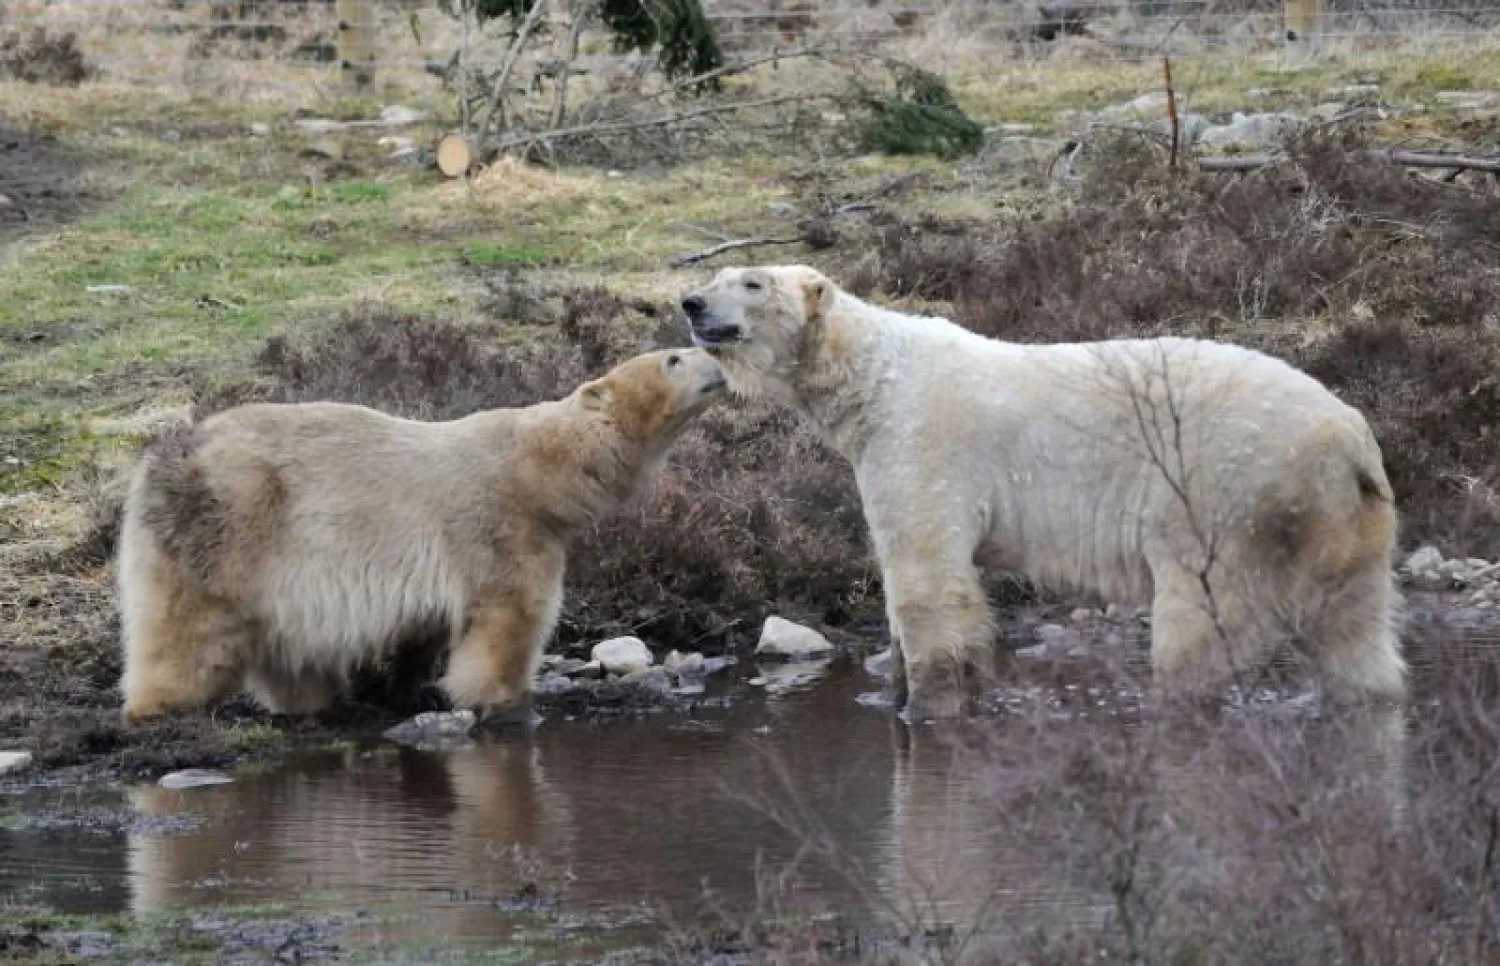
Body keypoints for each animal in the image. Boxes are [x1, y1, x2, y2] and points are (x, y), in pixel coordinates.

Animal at [117, 348, 726, 723]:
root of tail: (158, 459)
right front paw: (503, 697)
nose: (717, 360)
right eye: (673, 357)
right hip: (227, 527)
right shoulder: (498, 525)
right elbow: (508, 616)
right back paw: (161, 706)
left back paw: (317, 701)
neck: (539, 467)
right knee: (188, 628)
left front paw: (410, 685)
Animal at [680, 264, 1405, 720]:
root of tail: (1349, 437)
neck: (875, 375)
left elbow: (928, 575)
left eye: (752, 282)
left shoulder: (922, 443)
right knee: (1356, 633)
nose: (690, 302)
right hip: (1348, 519)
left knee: (1198, 621)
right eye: (717, 277)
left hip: (1228, 491)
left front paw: (927, 707)